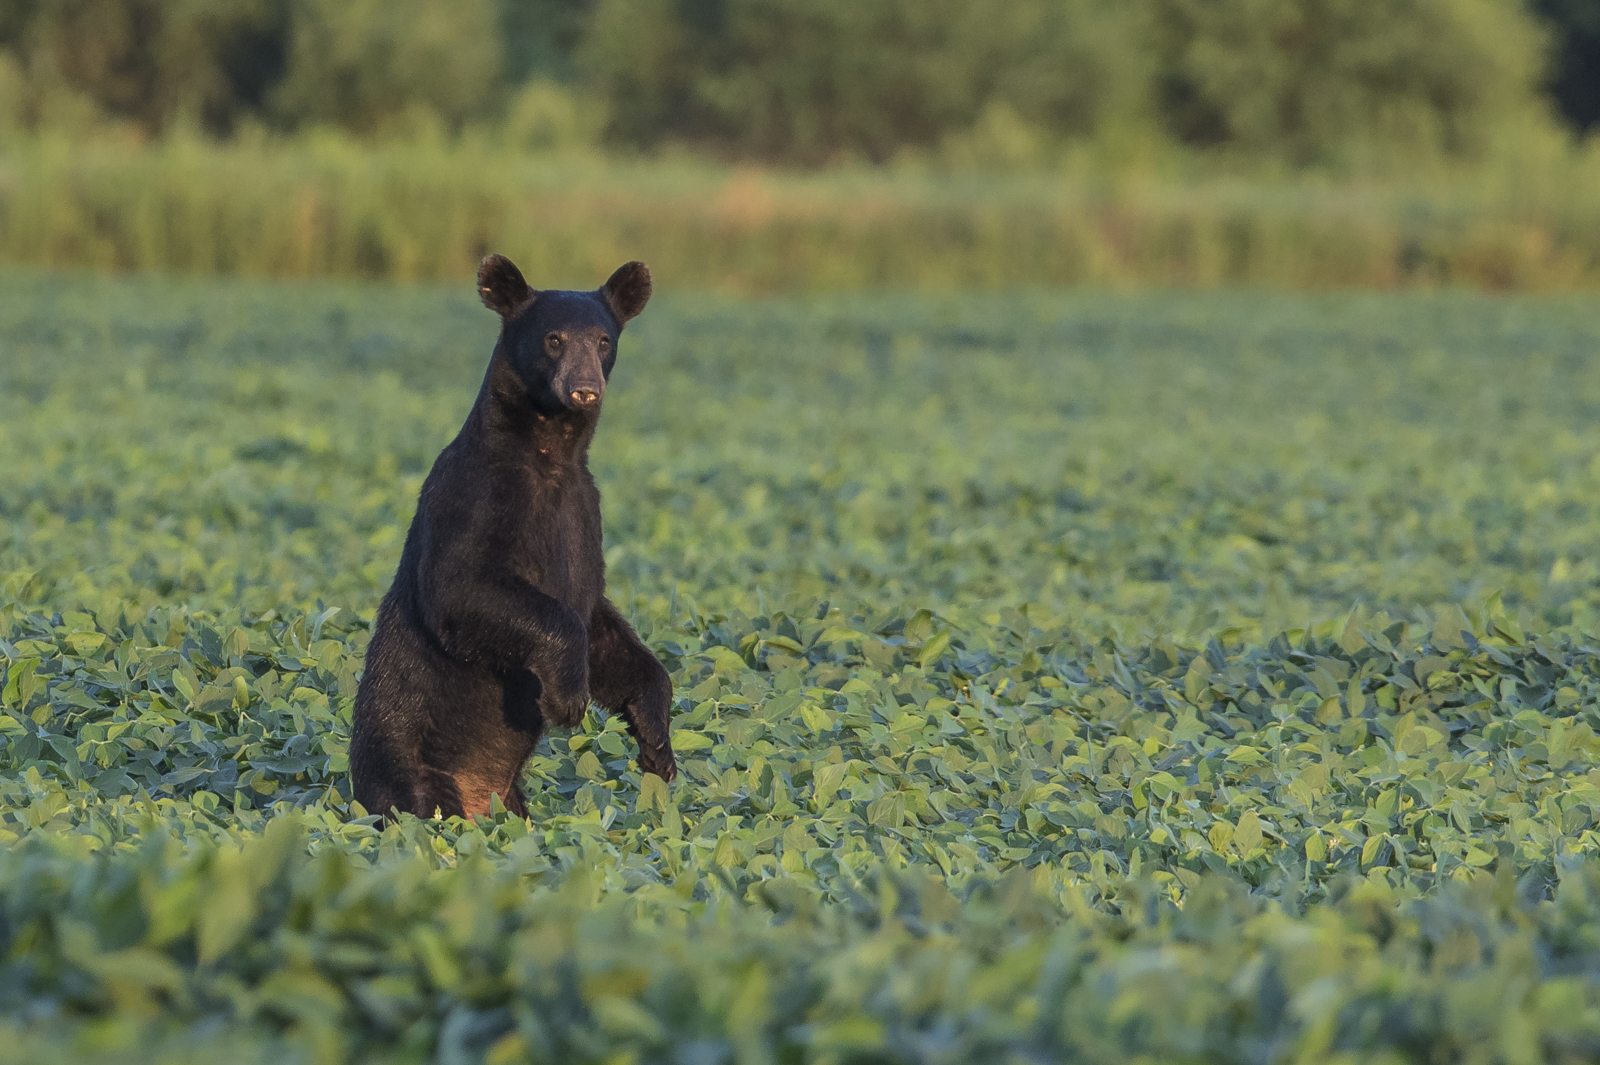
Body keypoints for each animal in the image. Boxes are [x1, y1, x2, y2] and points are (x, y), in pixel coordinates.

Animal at [350, 254, 677, 821]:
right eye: (553, 339)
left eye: (603, 340)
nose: (585, 388)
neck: (551, 456)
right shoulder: (477, 495)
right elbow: (463, 588)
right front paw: (566, 699)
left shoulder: (584, 513)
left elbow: (600, 622)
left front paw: (657, 742)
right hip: (409, 775)